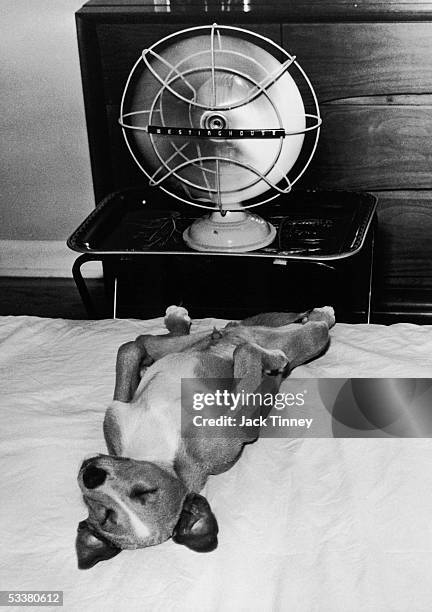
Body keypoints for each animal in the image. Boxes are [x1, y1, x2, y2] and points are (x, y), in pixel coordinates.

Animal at [76, 306, 336, 568]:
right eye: (105, 514)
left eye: (145, 492)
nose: (91, 475)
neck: (158, 453)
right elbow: (246, 352)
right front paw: (272, 359)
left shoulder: (116, 412)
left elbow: (128, 351)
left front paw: (270, 360)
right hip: (295, 338)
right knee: (312, 331)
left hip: (186, 344)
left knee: (145, 341)